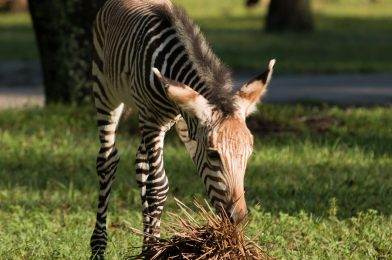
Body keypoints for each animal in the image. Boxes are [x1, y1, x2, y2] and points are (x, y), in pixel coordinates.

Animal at [91, 0, 276, 258]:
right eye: (213, 155)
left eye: (249, 153)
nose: (238, 219)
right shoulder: (153, 120)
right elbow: (158, 187)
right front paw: (154, 251)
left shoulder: (187, 121)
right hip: (105, 92)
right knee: (108, 161)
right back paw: (99, 246)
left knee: (141, 165)